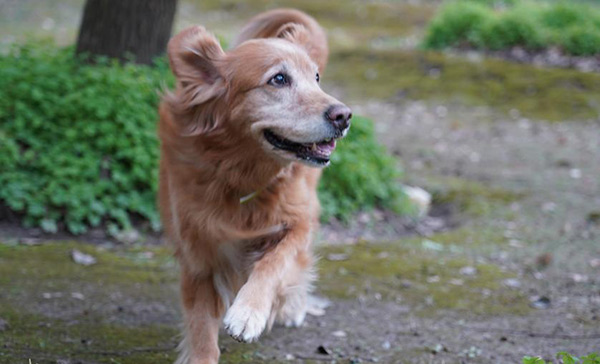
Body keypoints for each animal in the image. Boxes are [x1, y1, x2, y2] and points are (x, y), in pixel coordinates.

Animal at [158, 9, 352, 364]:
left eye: (316, 78)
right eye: (278, 79)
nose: (344, 116)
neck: (240, 173)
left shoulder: (298, 221)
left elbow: (274, 261)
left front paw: (249, 312)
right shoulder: (198, 261)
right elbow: (201, 331)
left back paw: (292, 307)